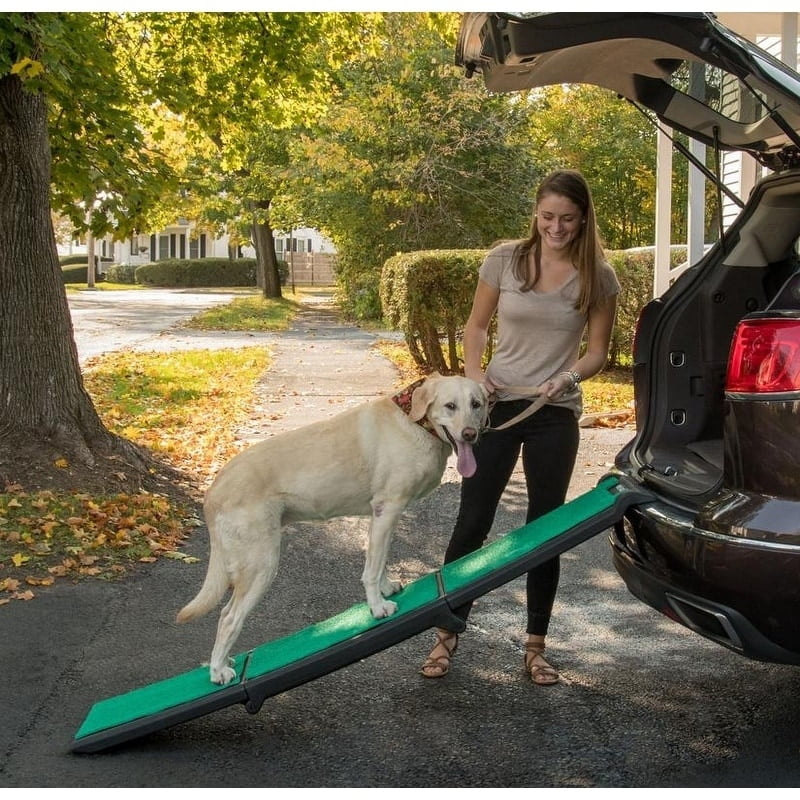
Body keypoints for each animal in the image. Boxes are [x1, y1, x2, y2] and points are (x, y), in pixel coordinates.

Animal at [177, 374, 488, 680]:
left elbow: (380, 562)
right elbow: (371, 571)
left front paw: (386, 589)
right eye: (450, 406)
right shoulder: (388, 509)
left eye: (476, 404)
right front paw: (377, 607)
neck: (413, 422)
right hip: (261, 565)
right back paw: (218, 670)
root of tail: (213, 492)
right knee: (228, 617)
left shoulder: (381, 518)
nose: (470, 434)